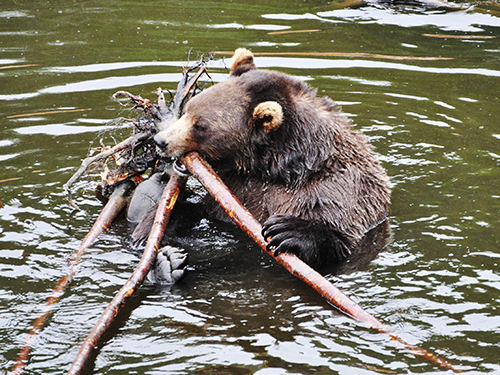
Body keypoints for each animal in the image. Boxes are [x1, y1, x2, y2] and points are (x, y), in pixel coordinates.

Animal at [152, 48, 390, 268]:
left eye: (200, 125)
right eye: (189, 109)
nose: (161, 140)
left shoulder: (339, 188)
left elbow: (339, 234)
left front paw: (286, 229)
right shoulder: (236, 188)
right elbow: (197, 211)